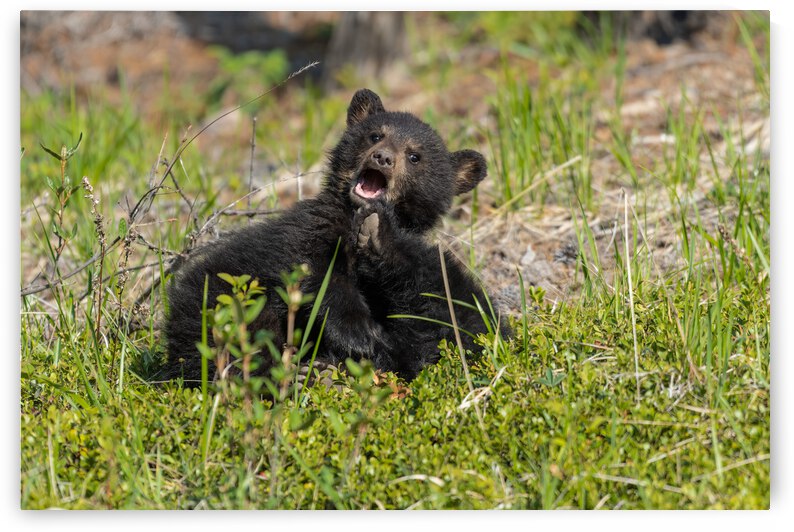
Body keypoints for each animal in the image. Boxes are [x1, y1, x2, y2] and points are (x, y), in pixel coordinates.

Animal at [163, 88, 501, 384]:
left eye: (415, 156)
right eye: (375, 135)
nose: (382, 157)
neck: (352, 217)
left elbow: (439, 301)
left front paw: (380, 238)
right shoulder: (311, 230)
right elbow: (320, 279)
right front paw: (360, 335)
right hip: (220, 296)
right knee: (233, 333)